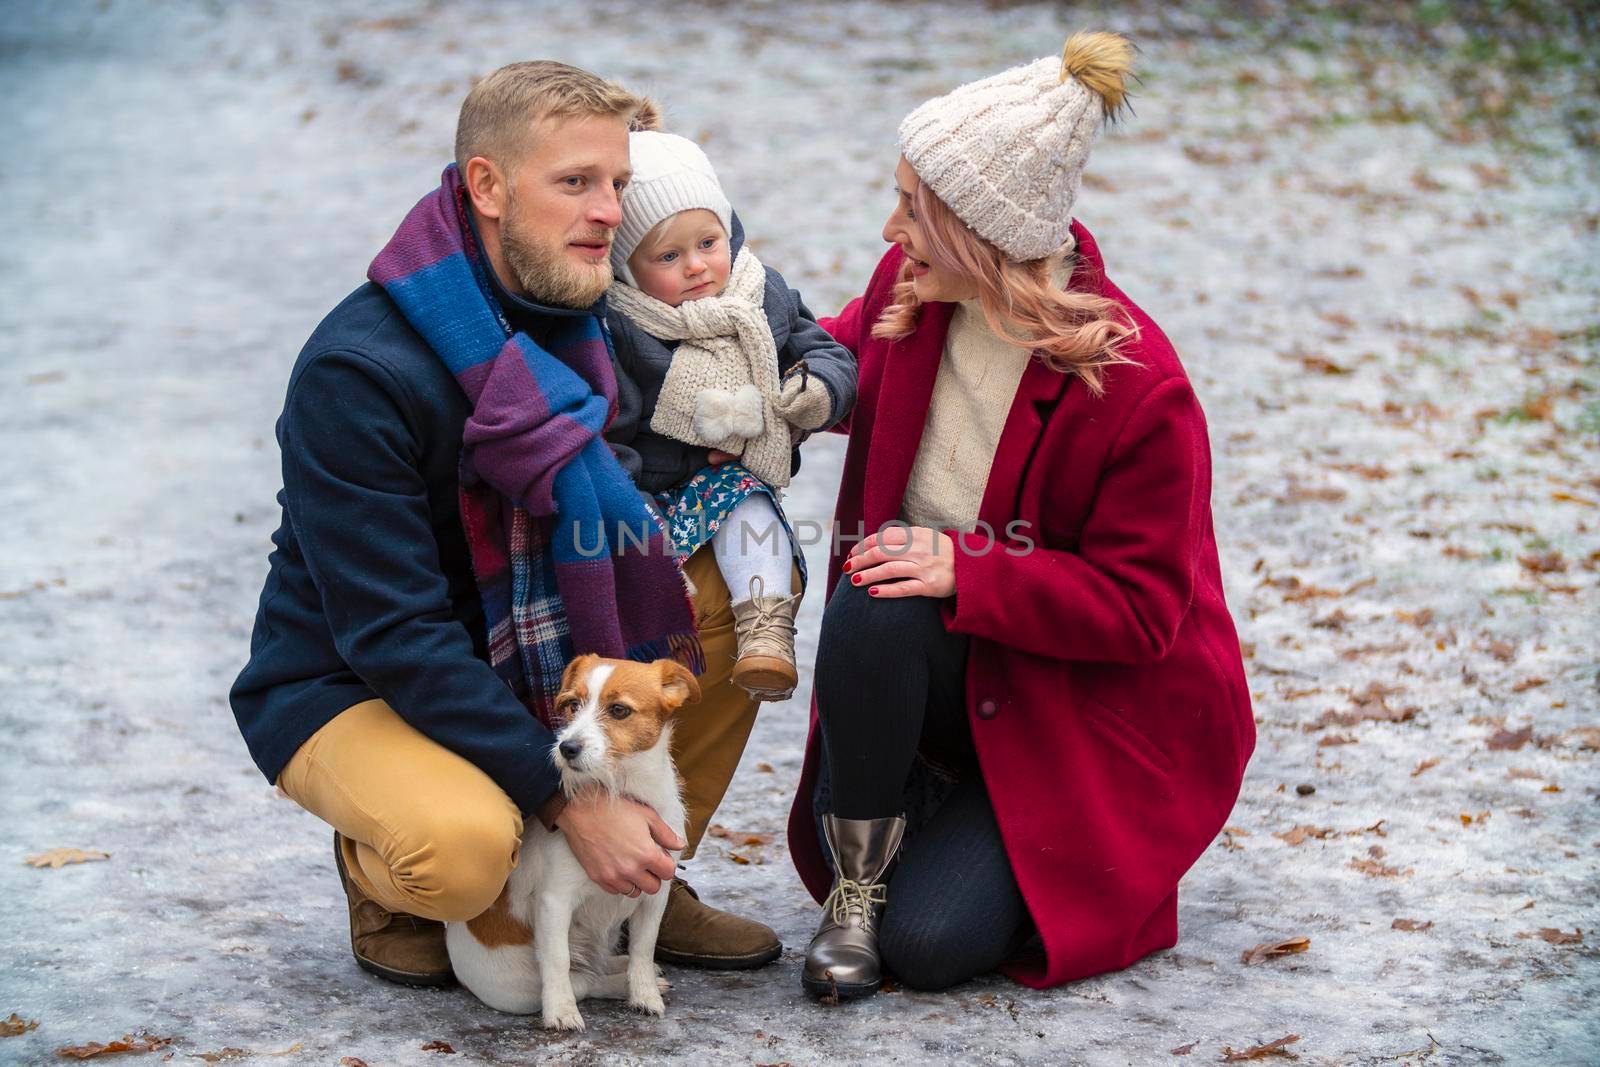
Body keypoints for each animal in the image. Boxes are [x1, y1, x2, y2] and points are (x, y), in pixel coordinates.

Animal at [451, 655, 700, 1030]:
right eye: (571, 705)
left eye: (619, 710)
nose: (566, 747)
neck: (618, 791)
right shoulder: (556, 901)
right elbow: (558, 961)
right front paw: (561, 1012)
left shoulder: (654, 896)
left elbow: (644, 948)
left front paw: (644, 995)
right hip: (518, 988)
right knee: (583, 979)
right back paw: (611, 983)